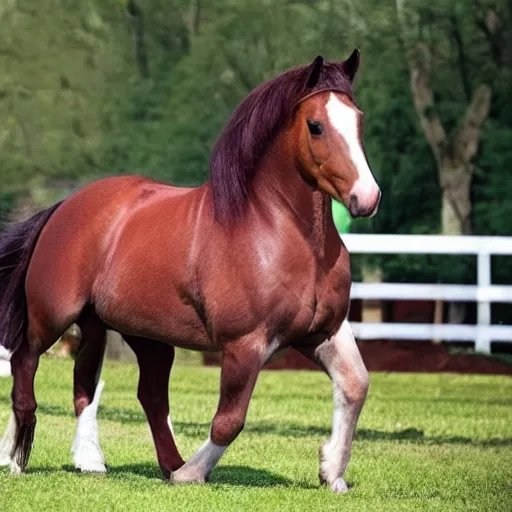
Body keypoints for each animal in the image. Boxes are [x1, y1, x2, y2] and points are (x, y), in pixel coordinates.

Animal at [1, 52, 380, 492]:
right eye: (316, 125)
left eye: (359, 119)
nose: (366, 197)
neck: (280, 231)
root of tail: (65, 206)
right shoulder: (245, 345)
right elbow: (229, 421)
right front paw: (193, 474)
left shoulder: (323, 332)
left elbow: (355, 385)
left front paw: (332, 471)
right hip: (52, 317)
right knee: (25, 363)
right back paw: (15, 457)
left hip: (126, 329)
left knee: (108, 388)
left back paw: (100, 461)